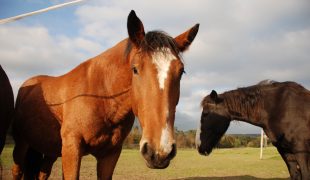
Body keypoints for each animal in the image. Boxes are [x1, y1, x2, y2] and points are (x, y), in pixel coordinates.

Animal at [11, 10, 199, 179]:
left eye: (181, 72)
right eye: (135, 69)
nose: (160, 151)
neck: (102, 98)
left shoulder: (110, 155)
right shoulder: (71, 149)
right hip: (22, 145)